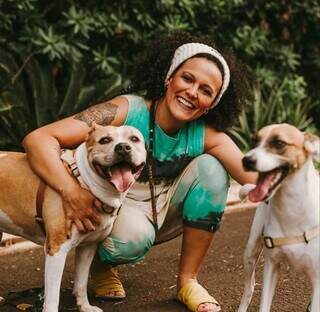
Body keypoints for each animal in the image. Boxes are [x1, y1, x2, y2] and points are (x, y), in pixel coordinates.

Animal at [0, 124, 147, 312]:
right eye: (104, 140)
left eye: (134, 139)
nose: (122, 147)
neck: (83, 182)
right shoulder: (56, 249)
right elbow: (52, 296)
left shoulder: (88, 247)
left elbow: (81, 282)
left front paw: (85, 306)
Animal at [238, 124, 320, 312]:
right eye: (254, 140)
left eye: (279, 143)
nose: (246, 160)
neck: (292, 208)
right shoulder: (272, 266)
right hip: (251, 251)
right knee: (249, 287)